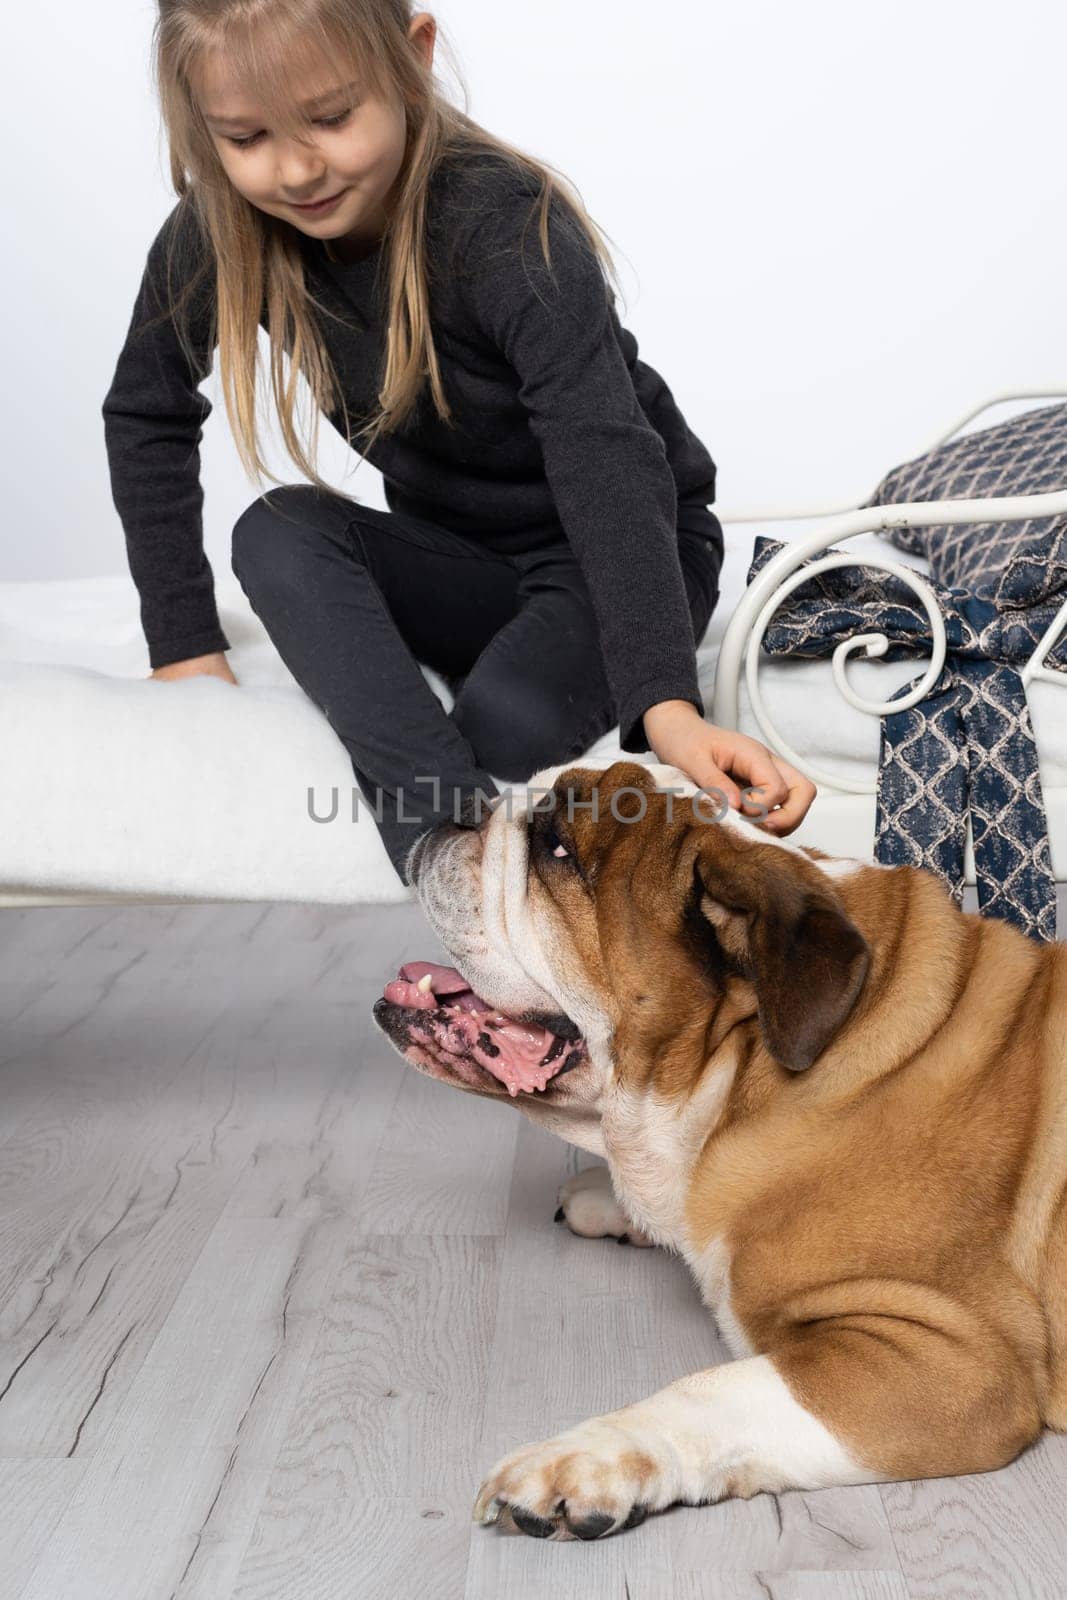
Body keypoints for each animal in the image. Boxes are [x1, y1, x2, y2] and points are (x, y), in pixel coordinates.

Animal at [369, 758, 1067, 1536]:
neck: (741, 1070)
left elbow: (709, 1392)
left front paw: (584, 1457)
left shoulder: (950, 1361)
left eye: (557, 850)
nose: (464, 799)